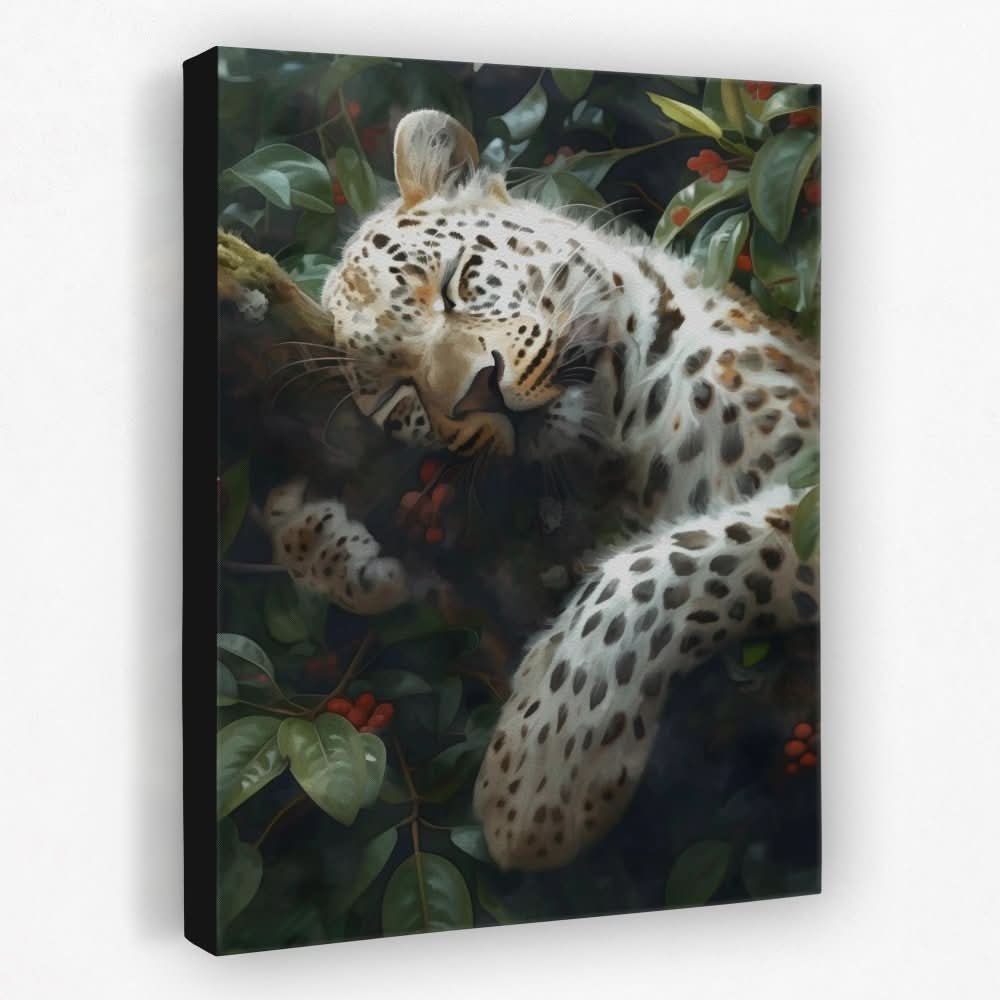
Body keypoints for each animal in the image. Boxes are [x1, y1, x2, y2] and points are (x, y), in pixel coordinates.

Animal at [238, 108, 820, 873]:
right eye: (399, 394)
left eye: (456, 282)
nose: (478, 392)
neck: (621, 439)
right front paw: (324, 540)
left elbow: (681, 559)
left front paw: (544, 776)